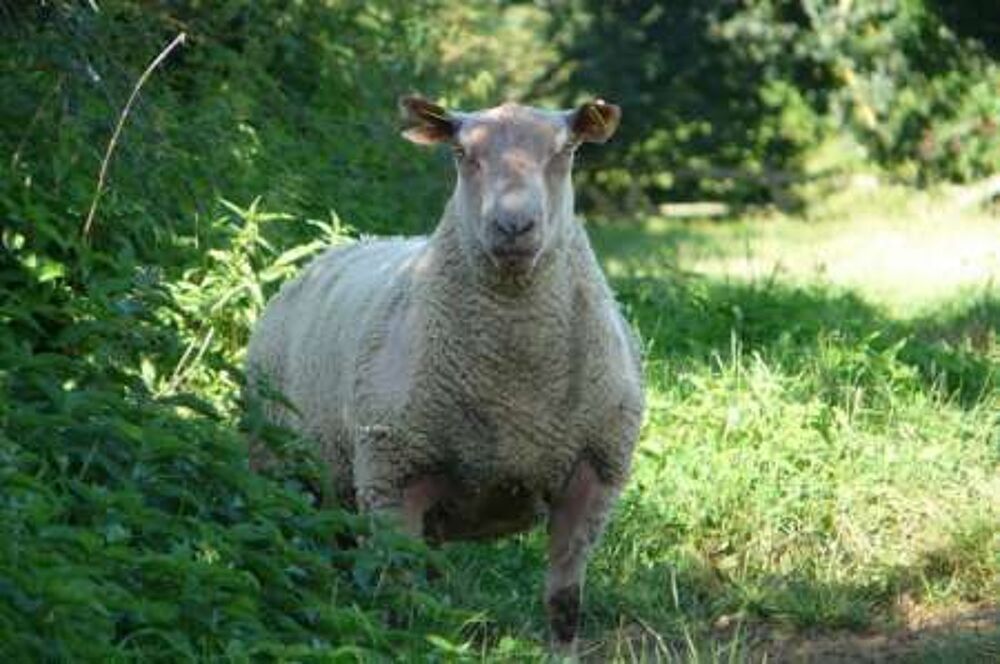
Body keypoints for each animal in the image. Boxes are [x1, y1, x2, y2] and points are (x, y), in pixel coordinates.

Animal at [246, 95, 645, 652]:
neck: (517, 392)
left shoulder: (594, 474)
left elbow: (563, 606)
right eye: (462, 153)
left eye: (565, 151)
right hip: (281, 465)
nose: (513, 227)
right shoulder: (393, 478)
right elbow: (399, 601)